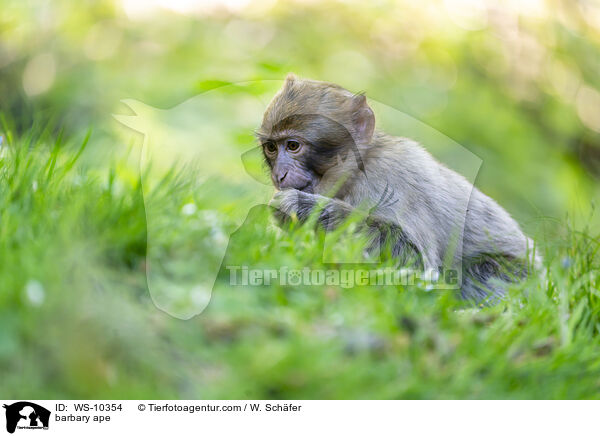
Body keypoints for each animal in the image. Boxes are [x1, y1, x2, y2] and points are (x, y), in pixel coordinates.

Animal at [258, 75, 540, 300]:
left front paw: (299, 206)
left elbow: (416, 261)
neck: (355, 173)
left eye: (293, 146)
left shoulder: (391, 178)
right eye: (271, 148)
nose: (279, 175)